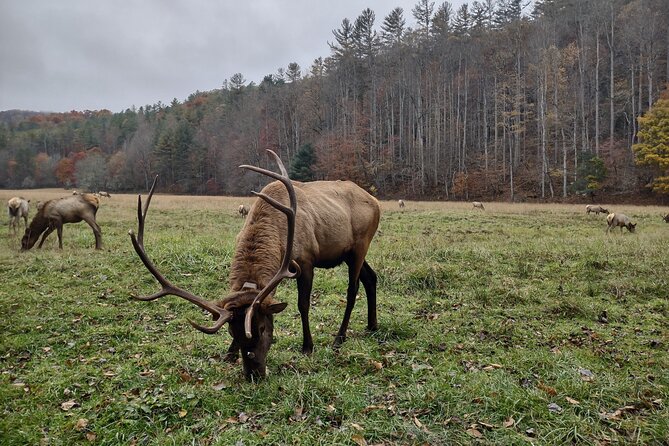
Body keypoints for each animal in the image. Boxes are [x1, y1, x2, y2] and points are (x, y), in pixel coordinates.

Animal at [129, 150, 381, 380]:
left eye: (262, 328)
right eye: (233, 333)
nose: (254, 374)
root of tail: (376, 202)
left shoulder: (306, 260)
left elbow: (303, 304)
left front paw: (307, 346)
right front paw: (229, 354)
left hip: (361, 244)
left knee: (352, 289)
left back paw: (340, 338)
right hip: (349, 252)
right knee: (371, 277)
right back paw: (372, 325)